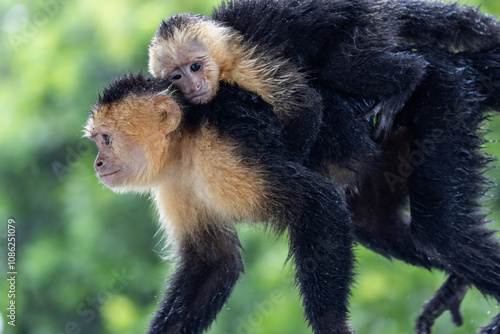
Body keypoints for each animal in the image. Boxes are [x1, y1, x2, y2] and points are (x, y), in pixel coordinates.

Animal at [86, 74, 358, 334]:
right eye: (97, 141)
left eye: (107, 139)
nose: (97, 163)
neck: (185, 142)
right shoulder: (175, 183)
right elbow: (214, 262)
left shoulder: (221, 154)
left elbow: (319, 200)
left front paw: (331, 324)